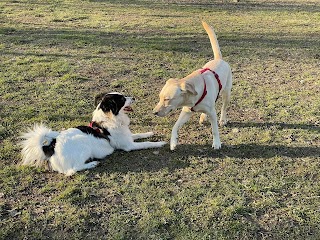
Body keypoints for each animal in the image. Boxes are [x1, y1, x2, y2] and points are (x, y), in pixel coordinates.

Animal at [20, 91, 166, 174]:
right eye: (122, 99)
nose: (134, 98)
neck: (110, 120)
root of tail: (51, 147)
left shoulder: (128, 137)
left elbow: (139, 134)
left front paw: (150, 133)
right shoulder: (129, 146)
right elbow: (147, 143)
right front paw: (160, 143)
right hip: (83, 145)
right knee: (72, 170)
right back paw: (92, 164)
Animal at [153, 22, 232, 150]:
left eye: (167, 99)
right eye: (160, 98)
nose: (154, 112)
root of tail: (219, 59)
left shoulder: (212, 113)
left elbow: (215, 130)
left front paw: (217, 143)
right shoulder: (186, 111)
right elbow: (175, 126)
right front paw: (173, 142)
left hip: (227, 93)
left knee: (223, 108)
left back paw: (222, 120)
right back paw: (203, 117)